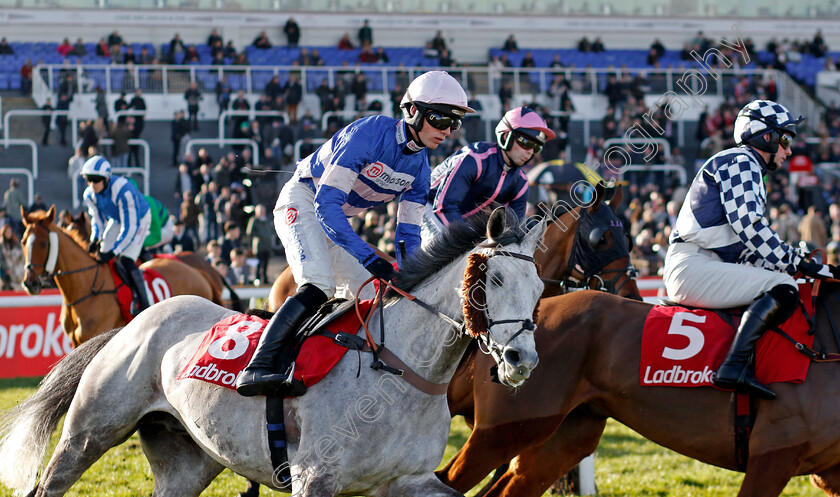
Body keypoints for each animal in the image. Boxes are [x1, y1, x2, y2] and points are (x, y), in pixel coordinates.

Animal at [436, 288, 840, 496]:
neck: (825, 343)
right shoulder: (773, 456)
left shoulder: (829, 469)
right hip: (506, 429)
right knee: (445, 480)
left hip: (563, 437)